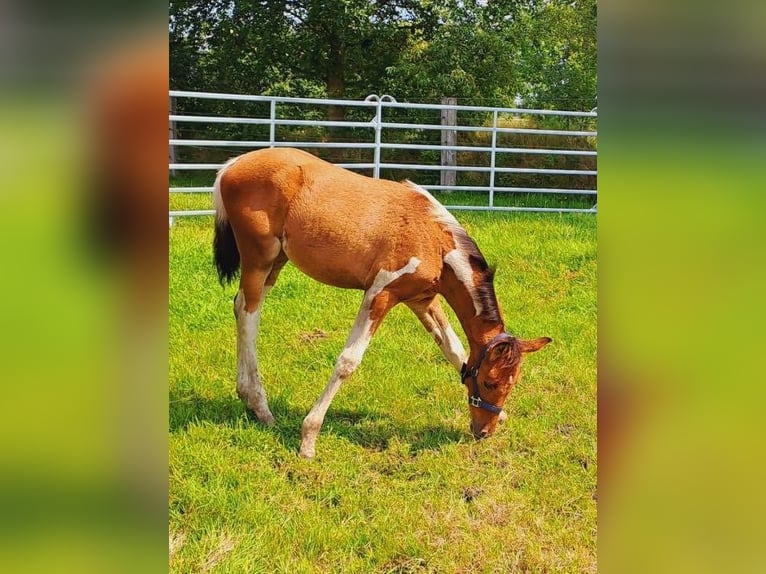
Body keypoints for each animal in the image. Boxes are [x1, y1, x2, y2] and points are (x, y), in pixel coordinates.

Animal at [214, 148, 552, 460]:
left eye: (512, 384)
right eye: (490, 382)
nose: (483, 432)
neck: (435, 240)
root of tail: (233, 165)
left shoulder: (422, 300)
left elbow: (453, 349)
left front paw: (503, 415)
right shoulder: (380, 293)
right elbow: (348, 361)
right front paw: (309, 438)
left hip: (277, 261)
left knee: (242, 306)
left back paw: (249, 400)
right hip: (259, 259)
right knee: (248, 314)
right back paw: (260, 406)